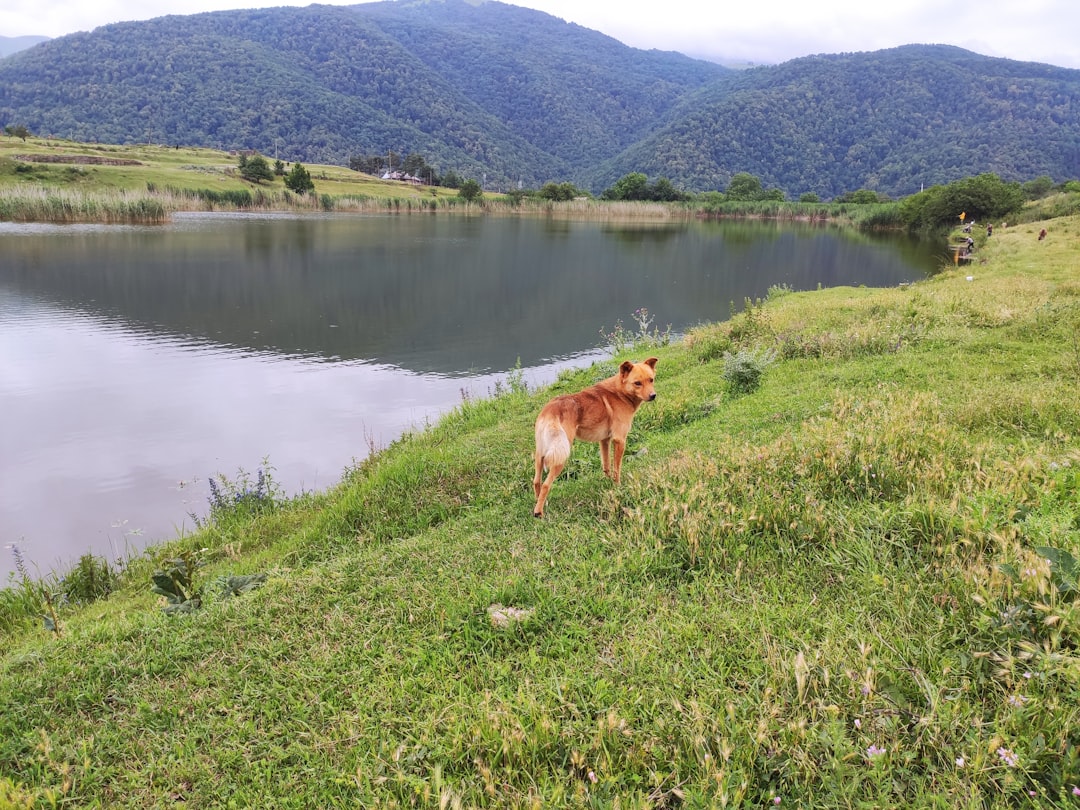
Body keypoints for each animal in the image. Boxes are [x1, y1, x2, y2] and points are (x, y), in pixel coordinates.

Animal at [533, 358, 656, 516]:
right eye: (637, 383)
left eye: (651, 380)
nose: (653, 396)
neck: (620, 392)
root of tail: (550, 410)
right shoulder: (619, 440)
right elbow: (617, 469)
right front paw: (618, 486)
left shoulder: (604, 441)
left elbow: (606, 465)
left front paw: (608, 483)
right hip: (561, 455)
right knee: (546, 484)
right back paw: (539, 512)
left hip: (541, 454)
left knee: (537, 481)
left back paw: (540, 503)